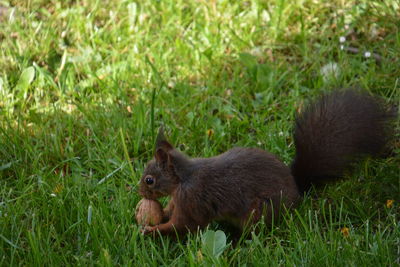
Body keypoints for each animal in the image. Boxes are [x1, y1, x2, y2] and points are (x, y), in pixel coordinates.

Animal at [139, 89, 396, 237]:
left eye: (149, 180)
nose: (139, 191)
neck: (183, 179)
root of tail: (297, 191)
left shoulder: (191, 201)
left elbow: (184, 225)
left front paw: (152, 229)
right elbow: (172, 212)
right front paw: (160, 215)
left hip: (258, 211)